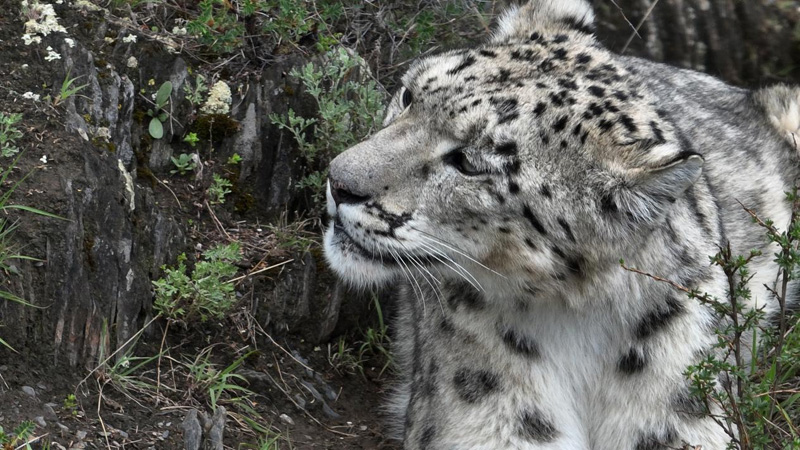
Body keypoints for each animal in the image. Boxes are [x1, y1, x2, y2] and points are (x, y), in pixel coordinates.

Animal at [322, 1, 800, 448]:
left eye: (470, 163)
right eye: (408, 96)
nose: (338, 181)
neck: (581, 322)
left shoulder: (677, 414)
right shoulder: (490, 418)